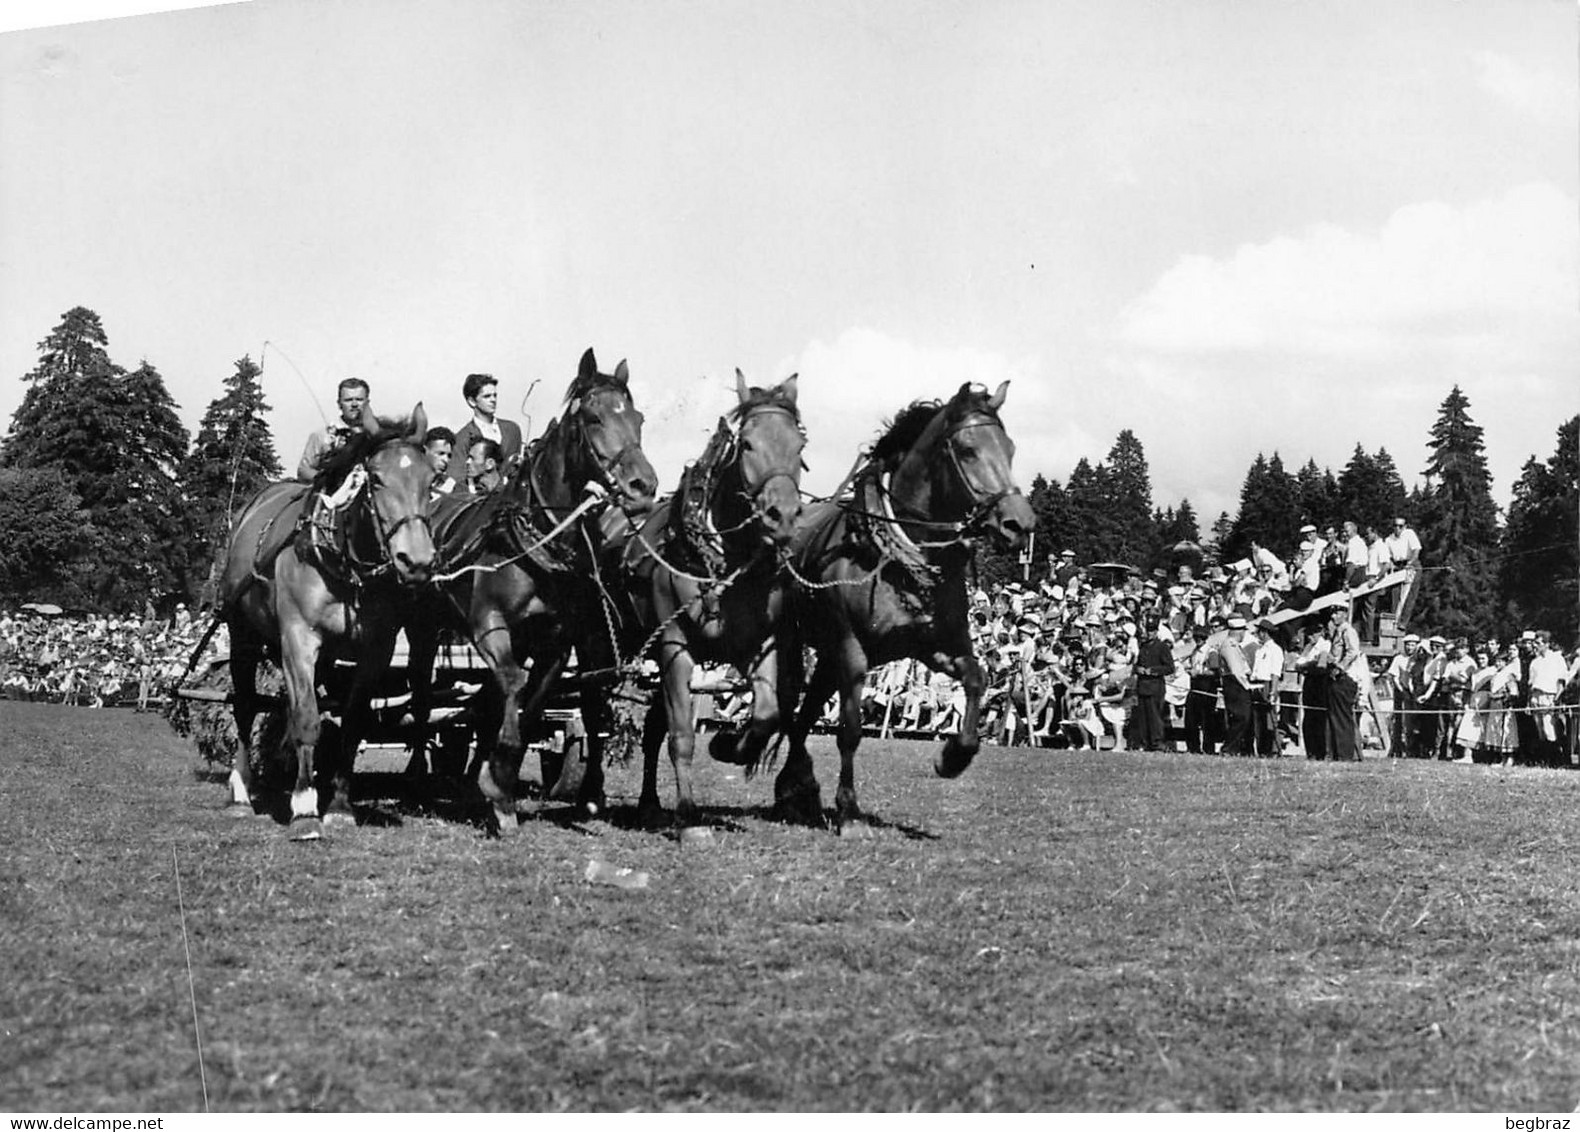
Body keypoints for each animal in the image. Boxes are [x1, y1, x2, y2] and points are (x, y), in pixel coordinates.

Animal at [219, 407, 436, 841]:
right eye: (377, 479)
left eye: (430, 479)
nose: (417, 561)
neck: (341, 558)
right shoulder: (298, 639)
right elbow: (306, 717)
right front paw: (304, 808)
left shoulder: (376, 650)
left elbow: (351, 723)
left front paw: (337, 804)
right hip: (242, 635)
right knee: (246, 705)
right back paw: (242, 791)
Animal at [407, 349, 660, 834]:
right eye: (595, 417)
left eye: (638, 418)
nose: (644, 485)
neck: (540, 539)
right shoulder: (488, 626)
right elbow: (512, 683)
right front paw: (497, 789)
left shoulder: (556, 646)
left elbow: (529, 705)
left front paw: (495, 784)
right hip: (423, 630)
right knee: (422, 695)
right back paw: (417, 775)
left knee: (482, 702)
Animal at [616, 376, 808, 828]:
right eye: (749, 444)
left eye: (799, 445)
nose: (783, 515)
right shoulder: (675, 645)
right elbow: (682, 735)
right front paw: (688, 815)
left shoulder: (759, 643)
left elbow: (767, 713)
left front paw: (729, 745)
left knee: (652, 727)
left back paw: (649, 804)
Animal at [774, 382, 1036, 828]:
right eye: (968, 449)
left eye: (1011, 449)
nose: (1018, 524)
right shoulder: (851, 650)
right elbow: (849, 729)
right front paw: (849, 809)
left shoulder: (935, 648)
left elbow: (976, 678)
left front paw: (953, 756)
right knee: (792, 709)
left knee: (804, 713)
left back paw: (796, 788)